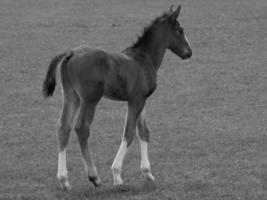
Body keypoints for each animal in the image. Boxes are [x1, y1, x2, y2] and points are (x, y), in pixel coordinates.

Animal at [42, 4, 193, 189]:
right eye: (180, 30)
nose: (189, 52)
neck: (144, 58)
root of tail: (71, 53)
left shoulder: (141, 100)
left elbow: (144, 132)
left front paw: (147, 173)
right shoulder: (136, 101)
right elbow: (129, 132)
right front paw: (117, 174)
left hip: (72, 97)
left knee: (63, 127)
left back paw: (64, 180)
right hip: (90, 100)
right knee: (82, 128)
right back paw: (94, 176)